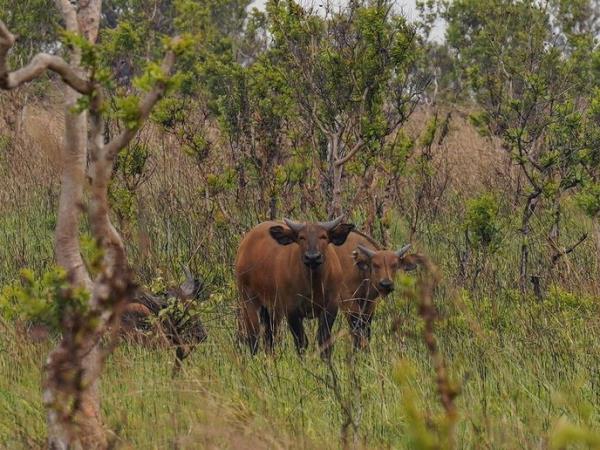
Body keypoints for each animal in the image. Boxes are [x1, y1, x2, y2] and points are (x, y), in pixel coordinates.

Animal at [234, 217, 354, 358]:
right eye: (301, 237)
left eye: (323, 236)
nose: (312, 257)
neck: (314, 286)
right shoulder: (291, 310)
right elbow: (301, 341)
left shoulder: (331, 307)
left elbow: (324, 341)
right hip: (248, 300)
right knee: (253, 335)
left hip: (271, 309)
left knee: (269, 337)